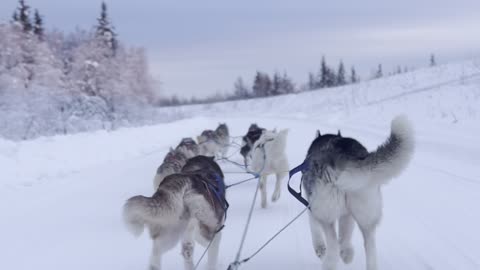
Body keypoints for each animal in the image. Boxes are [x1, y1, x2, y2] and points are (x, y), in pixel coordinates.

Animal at [302, 116, 414, 270]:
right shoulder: (347, 214)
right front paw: (346, 254)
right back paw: (348, 254)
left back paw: (331, 261)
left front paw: (320, 249)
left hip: (325, 215)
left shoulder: (311, 208)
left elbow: (314, 230)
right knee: (366, 246)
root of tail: (344, 157)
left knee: (333, 245)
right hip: (366, 214)